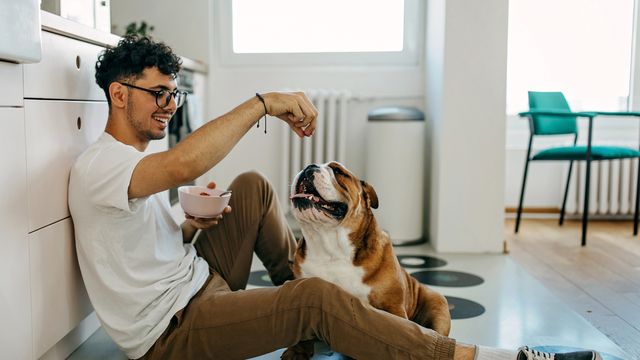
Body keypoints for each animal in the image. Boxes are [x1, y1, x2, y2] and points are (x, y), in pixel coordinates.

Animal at [282, 162, 452, 358]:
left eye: (338, 171)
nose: (309, 166)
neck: (331, 247)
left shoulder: (394, 307)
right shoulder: (300, 292)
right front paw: (297, 351)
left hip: (438, 306)